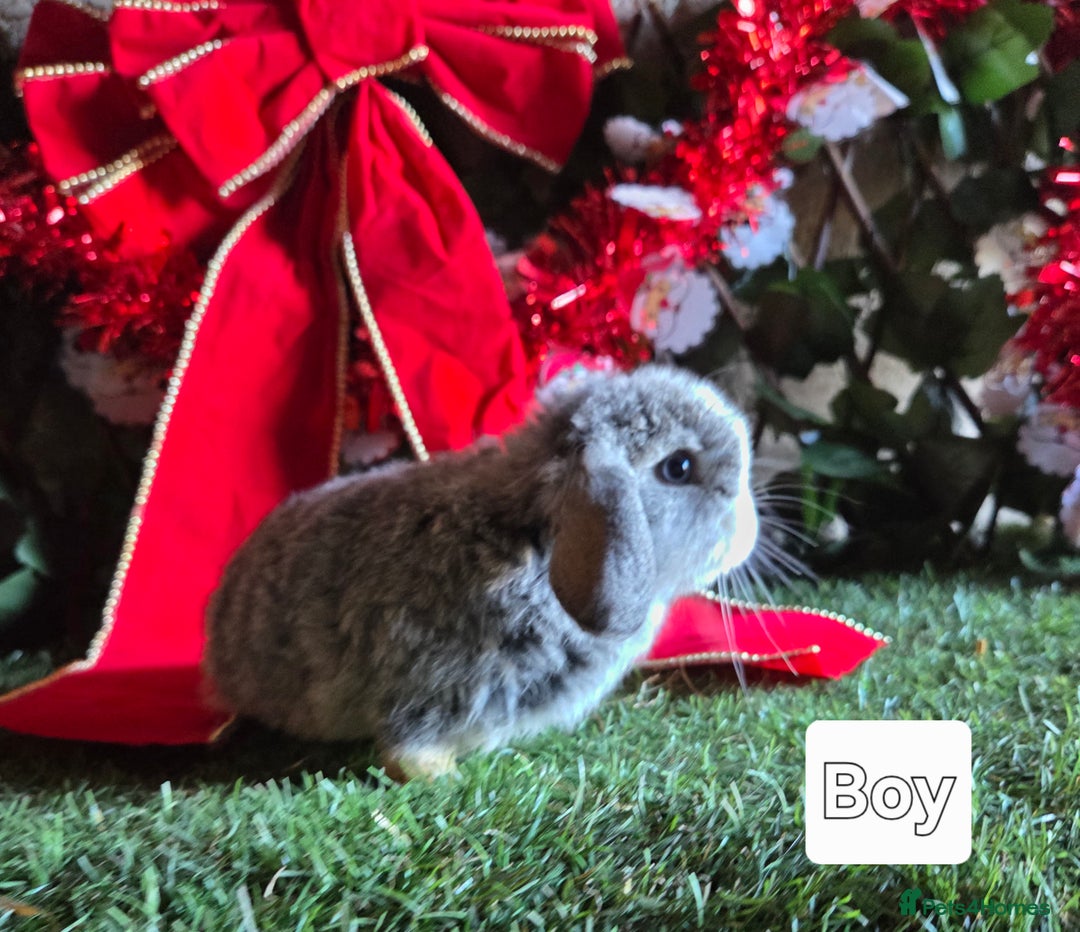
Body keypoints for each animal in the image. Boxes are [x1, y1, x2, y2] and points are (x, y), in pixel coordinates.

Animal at [204, 365, 758, 779]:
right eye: (679, 467)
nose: (750, 530)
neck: (535, 540)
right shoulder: (427, 678)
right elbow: (407, 749)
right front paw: (444, 778)